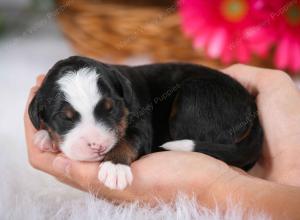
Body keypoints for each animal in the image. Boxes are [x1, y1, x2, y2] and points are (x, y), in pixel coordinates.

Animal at [28, 55, 262, 190]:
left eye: (111, 109)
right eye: (64, 118)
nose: (98, 146)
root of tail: (252, 107)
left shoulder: (141, 125)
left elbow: (128, 140)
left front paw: (114, 167)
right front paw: (44, 137)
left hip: (194, 97)